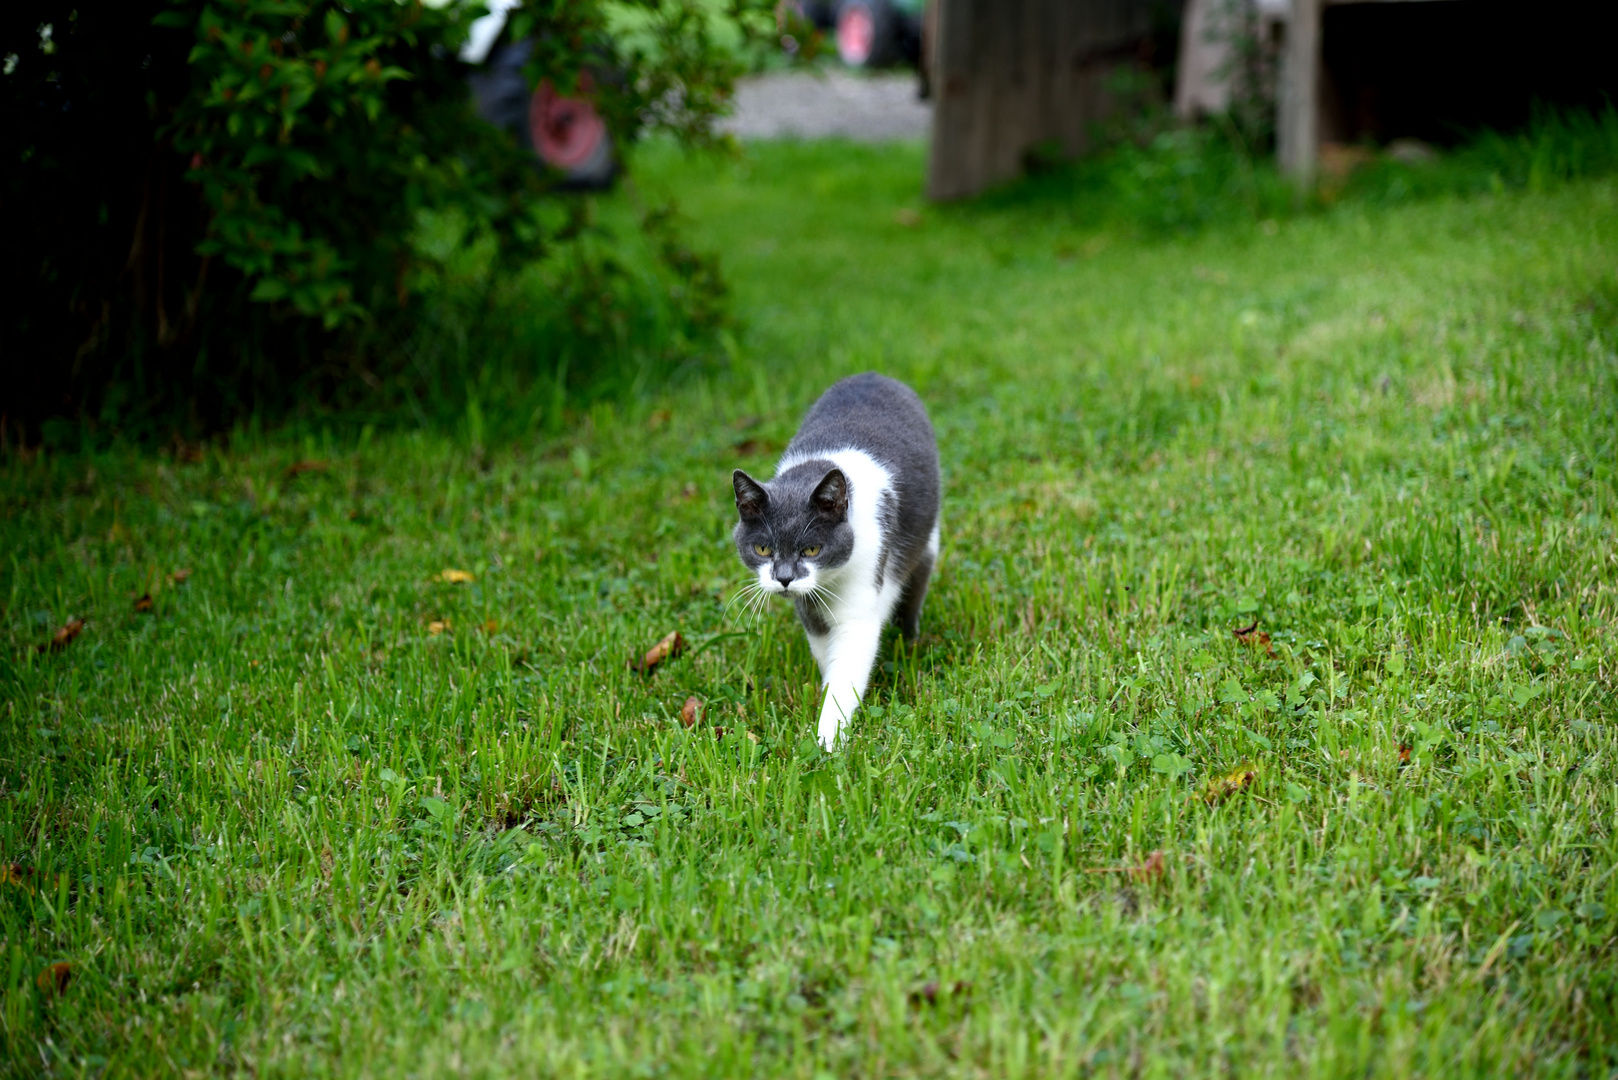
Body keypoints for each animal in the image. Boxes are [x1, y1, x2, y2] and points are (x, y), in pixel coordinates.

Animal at [731, 372, 944, 751]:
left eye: (812, 550)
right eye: (763, 549)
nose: (784, 578)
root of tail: (875, 374)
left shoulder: (865, 586)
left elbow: (847, 669)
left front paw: (826, 744)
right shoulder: (809, 610)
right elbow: (825, 653)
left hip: (927, 543)